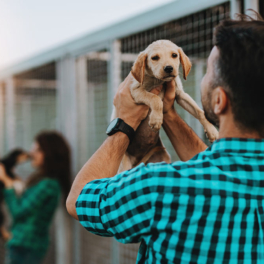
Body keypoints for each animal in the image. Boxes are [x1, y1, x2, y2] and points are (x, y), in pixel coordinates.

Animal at [111, 38, 219, 171]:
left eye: (174, 55)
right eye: (155, 58)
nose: (168, 68)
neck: (159, 81)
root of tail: (138, 161)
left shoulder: (180, 94)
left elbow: (199, 111)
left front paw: (211, 130)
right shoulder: (136, 90)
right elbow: (156, 98)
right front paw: (156, 119)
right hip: (124, 164)